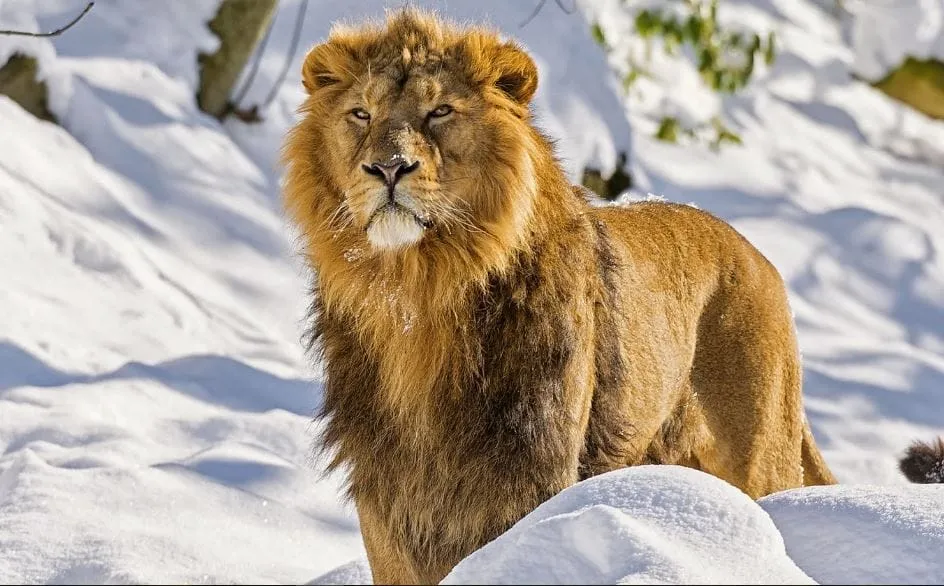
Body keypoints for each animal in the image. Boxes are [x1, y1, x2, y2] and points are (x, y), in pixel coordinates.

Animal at [281, 9, 840, 584]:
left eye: (440, 111)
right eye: (360, 114)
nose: (389, 168)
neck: (417, 296)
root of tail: (759, 258)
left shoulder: (532, 468)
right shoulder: (387, 497)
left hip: (761, 458)